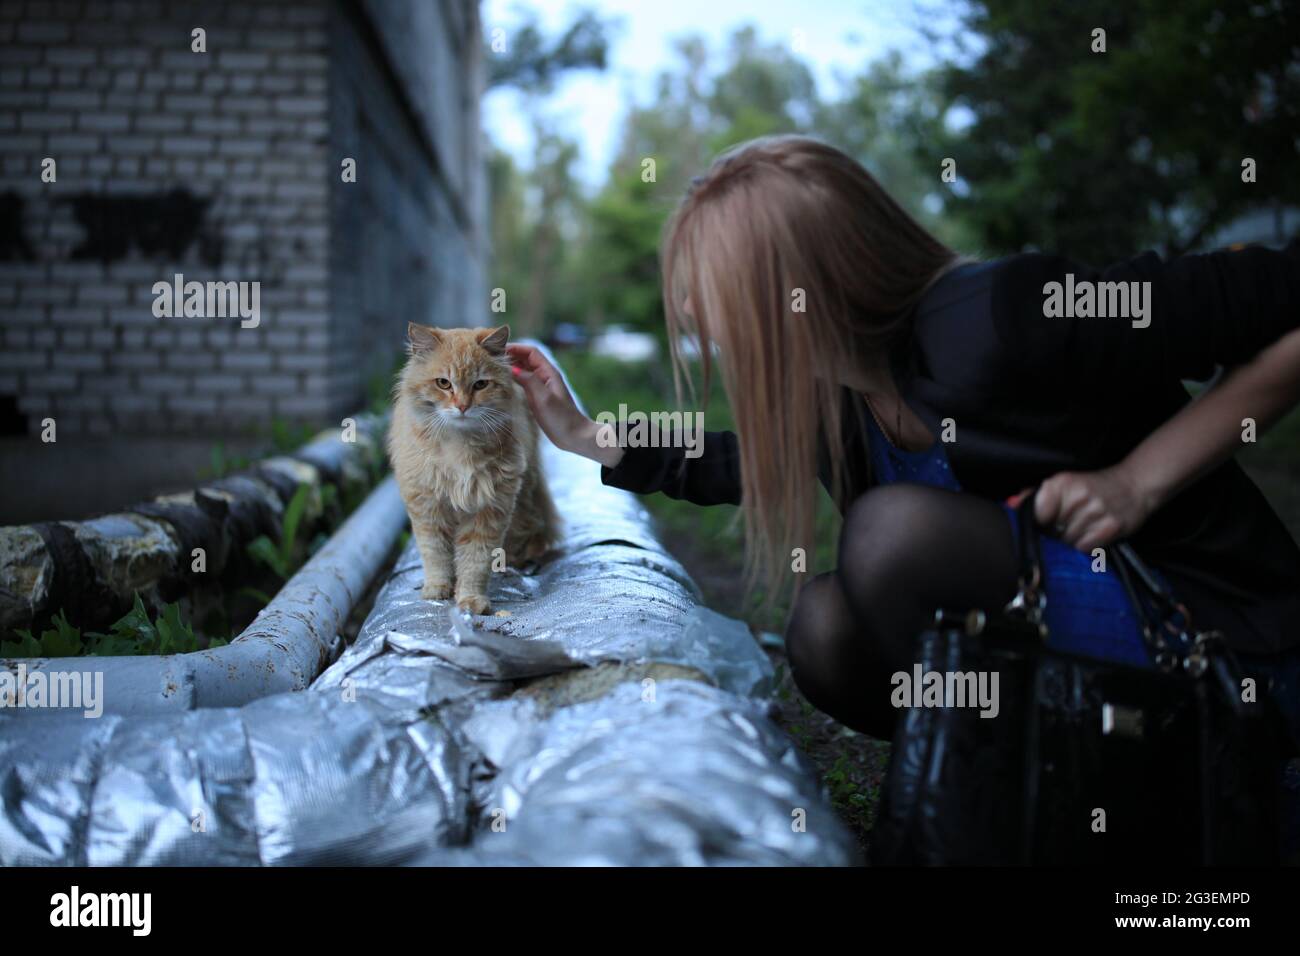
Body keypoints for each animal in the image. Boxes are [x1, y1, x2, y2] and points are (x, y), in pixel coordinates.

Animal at [390, 325, 564, 616]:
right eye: (443, 383)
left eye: (480, 384)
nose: (462, 406)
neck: (458, 446)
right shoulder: (428, 506)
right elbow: (435, 554)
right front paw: (437, 589)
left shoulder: (489, 508)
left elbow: (475, 561)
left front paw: (471, 601)